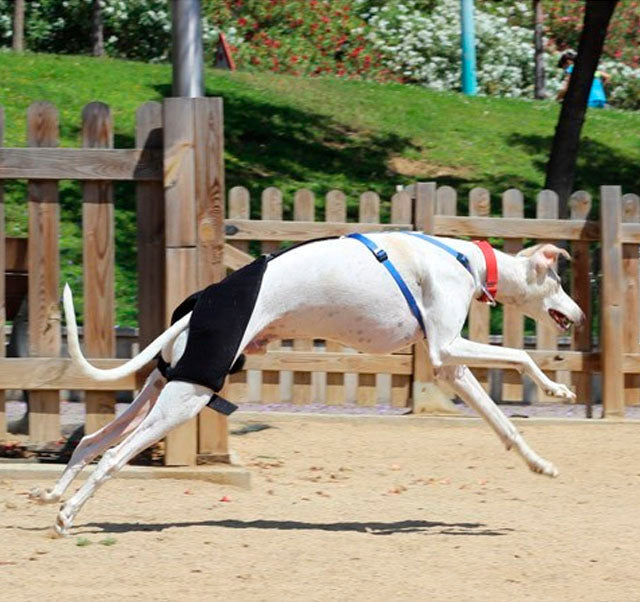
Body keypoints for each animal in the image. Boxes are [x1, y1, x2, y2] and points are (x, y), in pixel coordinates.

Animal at [30, 231, 584, 536]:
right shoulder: (446, 346)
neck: (465, 259)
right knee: (111, 457)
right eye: (559, 282)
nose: (578, 315)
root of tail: (195, 307)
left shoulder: (450, 365)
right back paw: (68, 515)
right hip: (186, 399)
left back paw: (53, 494)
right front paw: (557, 390)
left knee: (92, 439)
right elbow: (520, 355)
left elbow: (504, 425)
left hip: (164, 387)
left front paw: (540, 463)